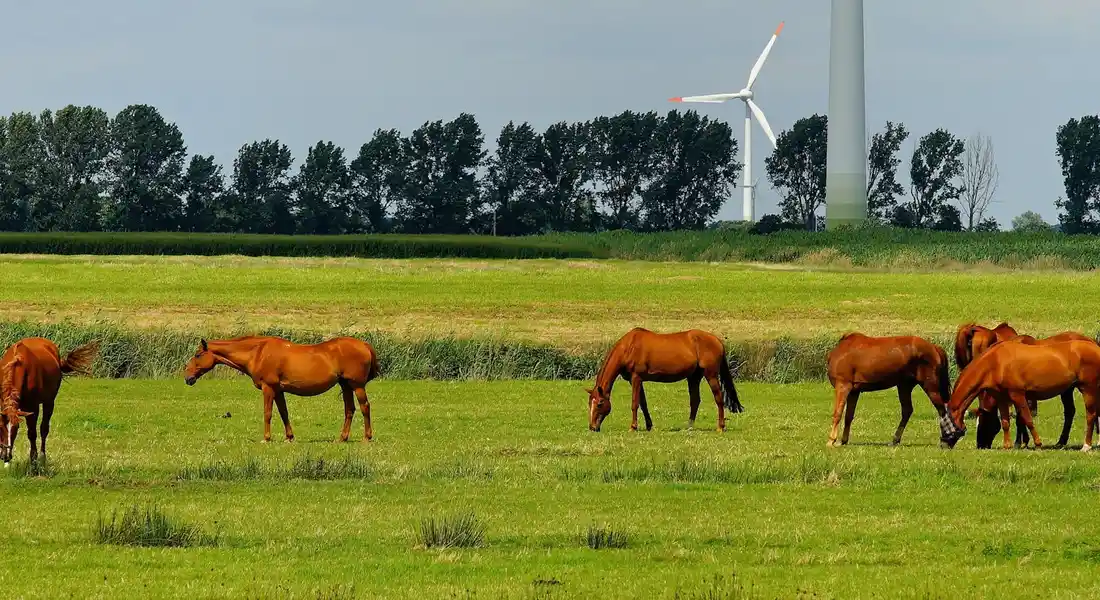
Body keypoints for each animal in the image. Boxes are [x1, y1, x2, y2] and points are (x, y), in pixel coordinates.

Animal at [183, 336, 381, 442]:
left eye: (198, 355)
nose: (187, 377)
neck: (258, 353)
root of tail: (364, 345)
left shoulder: (268, 388)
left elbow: (268, 413)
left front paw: (266, 438)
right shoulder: (278, 391)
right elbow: (284, 413)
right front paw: (289, 437)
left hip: (357, 386)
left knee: (365, 407)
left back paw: (367, 437)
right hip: (345, 385)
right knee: (349, 410)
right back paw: (342, 438)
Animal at [585, 328, 742, 433]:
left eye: (599, 403)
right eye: (589, 403)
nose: (592, 427)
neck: (629, 347)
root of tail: (718, 341)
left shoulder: (636, 378)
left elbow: (635, 403)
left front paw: (633, 427)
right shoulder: (636, 380)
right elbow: (643, 403)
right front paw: (649, 426)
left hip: (711, 375)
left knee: (719, 398)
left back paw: (721, 427)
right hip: (694, 377)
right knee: (695, 400)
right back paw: (689, 427)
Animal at [941, 340, 1100, 451]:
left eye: (945, 425)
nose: (943, 445)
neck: (995, 362)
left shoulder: (1017, 395)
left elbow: (1027, 419)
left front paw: (1038, 444)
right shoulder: (1001, 397)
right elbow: (1005, 422)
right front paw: (1007, 446)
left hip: (1088, 389)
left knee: (1091, 415)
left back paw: (1086, 446)